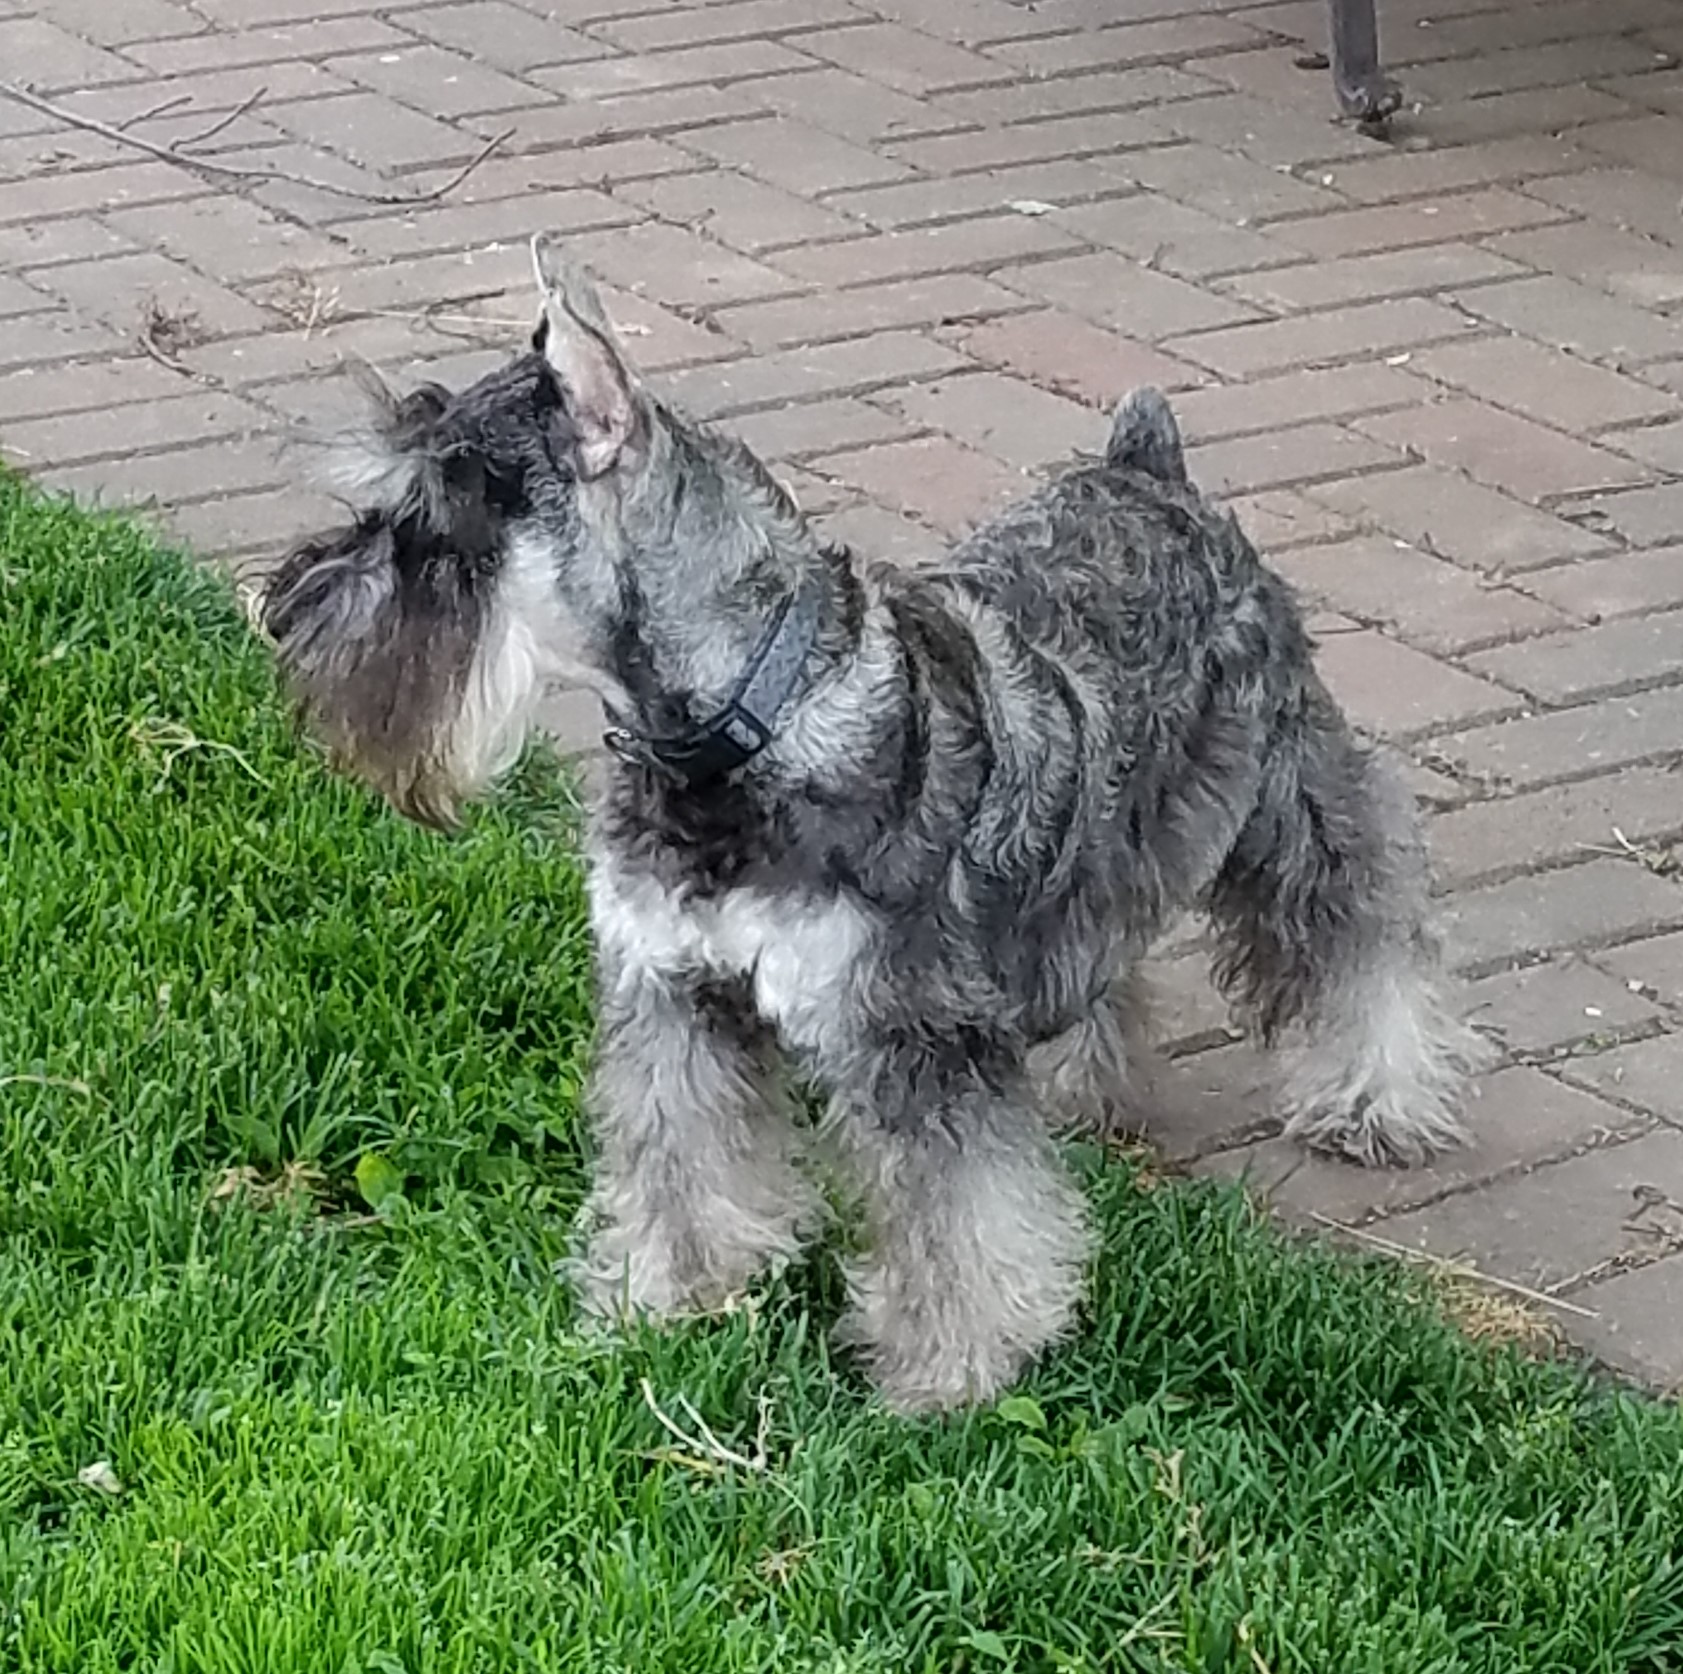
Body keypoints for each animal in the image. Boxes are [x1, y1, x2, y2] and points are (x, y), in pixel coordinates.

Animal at [255, 235, 1481, 1413]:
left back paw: (1378, 1097)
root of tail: (1149, 469)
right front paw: (664, 1302)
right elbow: (677, 1162)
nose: (278, 611)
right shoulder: (673, 997)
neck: (751, 721)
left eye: (431, 521)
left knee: (1362, 924)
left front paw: (945, 1375)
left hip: (1288, 799)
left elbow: (959, 1224)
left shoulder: (914, 1039)